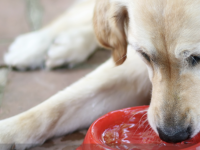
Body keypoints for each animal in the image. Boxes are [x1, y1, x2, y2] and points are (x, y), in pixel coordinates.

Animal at [1, 0, 200, 149]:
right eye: (145, 55)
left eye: (197, 57)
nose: (172, 135)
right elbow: (54, 107)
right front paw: (6, 131)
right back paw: (35, 44)